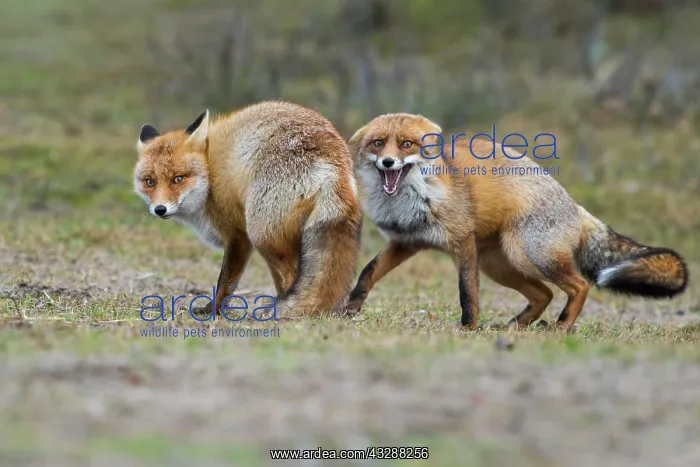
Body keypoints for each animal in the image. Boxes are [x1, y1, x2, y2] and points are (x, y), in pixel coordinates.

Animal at [133, 101, 362, 317]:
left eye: (178, 179)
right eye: (149, 182)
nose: (160, 209)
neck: (209, 173)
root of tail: (332, 160)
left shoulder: (238, 236)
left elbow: (225, 283)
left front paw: (212, 311)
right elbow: (274, 282)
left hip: (261, 235)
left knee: (292, 275)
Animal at [343, 113, 689, 331]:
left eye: (407, 145)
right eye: (377, 143)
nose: (388, 162)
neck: (415, 198)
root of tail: (576, 207)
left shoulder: (462, 242)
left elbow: (467, 292)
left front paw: (468, 328)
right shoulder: (406, 242)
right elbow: (368, 273)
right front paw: (347, 310)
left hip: (526, 254)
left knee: (579, 285)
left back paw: (562, 326)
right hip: (500, 265)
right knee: (544, 295)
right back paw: (515, 326)